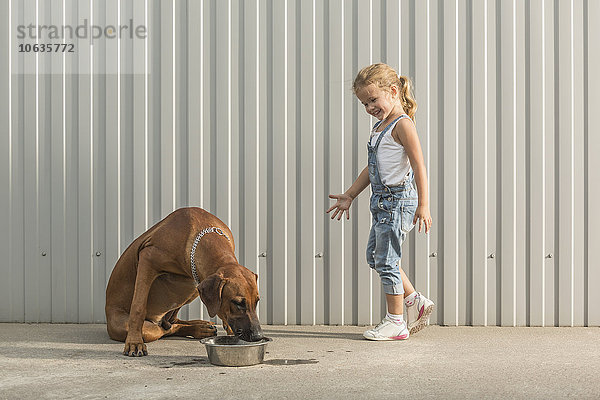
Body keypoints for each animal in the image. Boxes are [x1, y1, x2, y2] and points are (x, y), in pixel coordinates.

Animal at [105, 206, 262, 356]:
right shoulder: (146, 258)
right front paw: (134, 342)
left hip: (194, 287)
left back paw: (201, 325)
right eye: (237, 303)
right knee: (164, 329)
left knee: (172, 322)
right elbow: (138, 307)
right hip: (128, 325)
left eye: (257, 301)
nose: (258, 336)